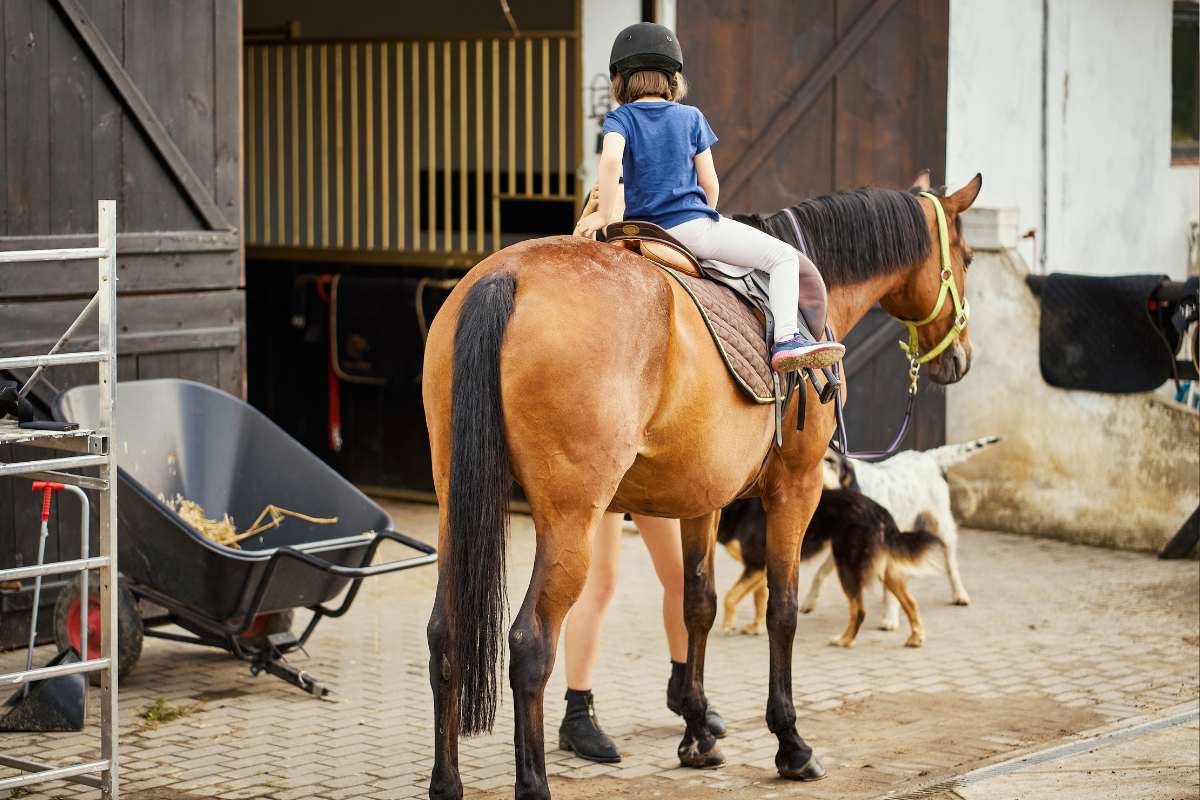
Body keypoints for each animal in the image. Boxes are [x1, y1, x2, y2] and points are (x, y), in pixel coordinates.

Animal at [715, 491, 940, 647]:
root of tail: (879, 511)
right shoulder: (762, 569)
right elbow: (759, 599)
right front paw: (757, 627)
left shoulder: (756, 564)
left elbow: (730, 596)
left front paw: (728, 625)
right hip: (881, 568)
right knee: (910, 602)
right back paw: (916, 637)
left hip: (847, 565)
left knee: (859, 610)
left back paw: (845, 640)